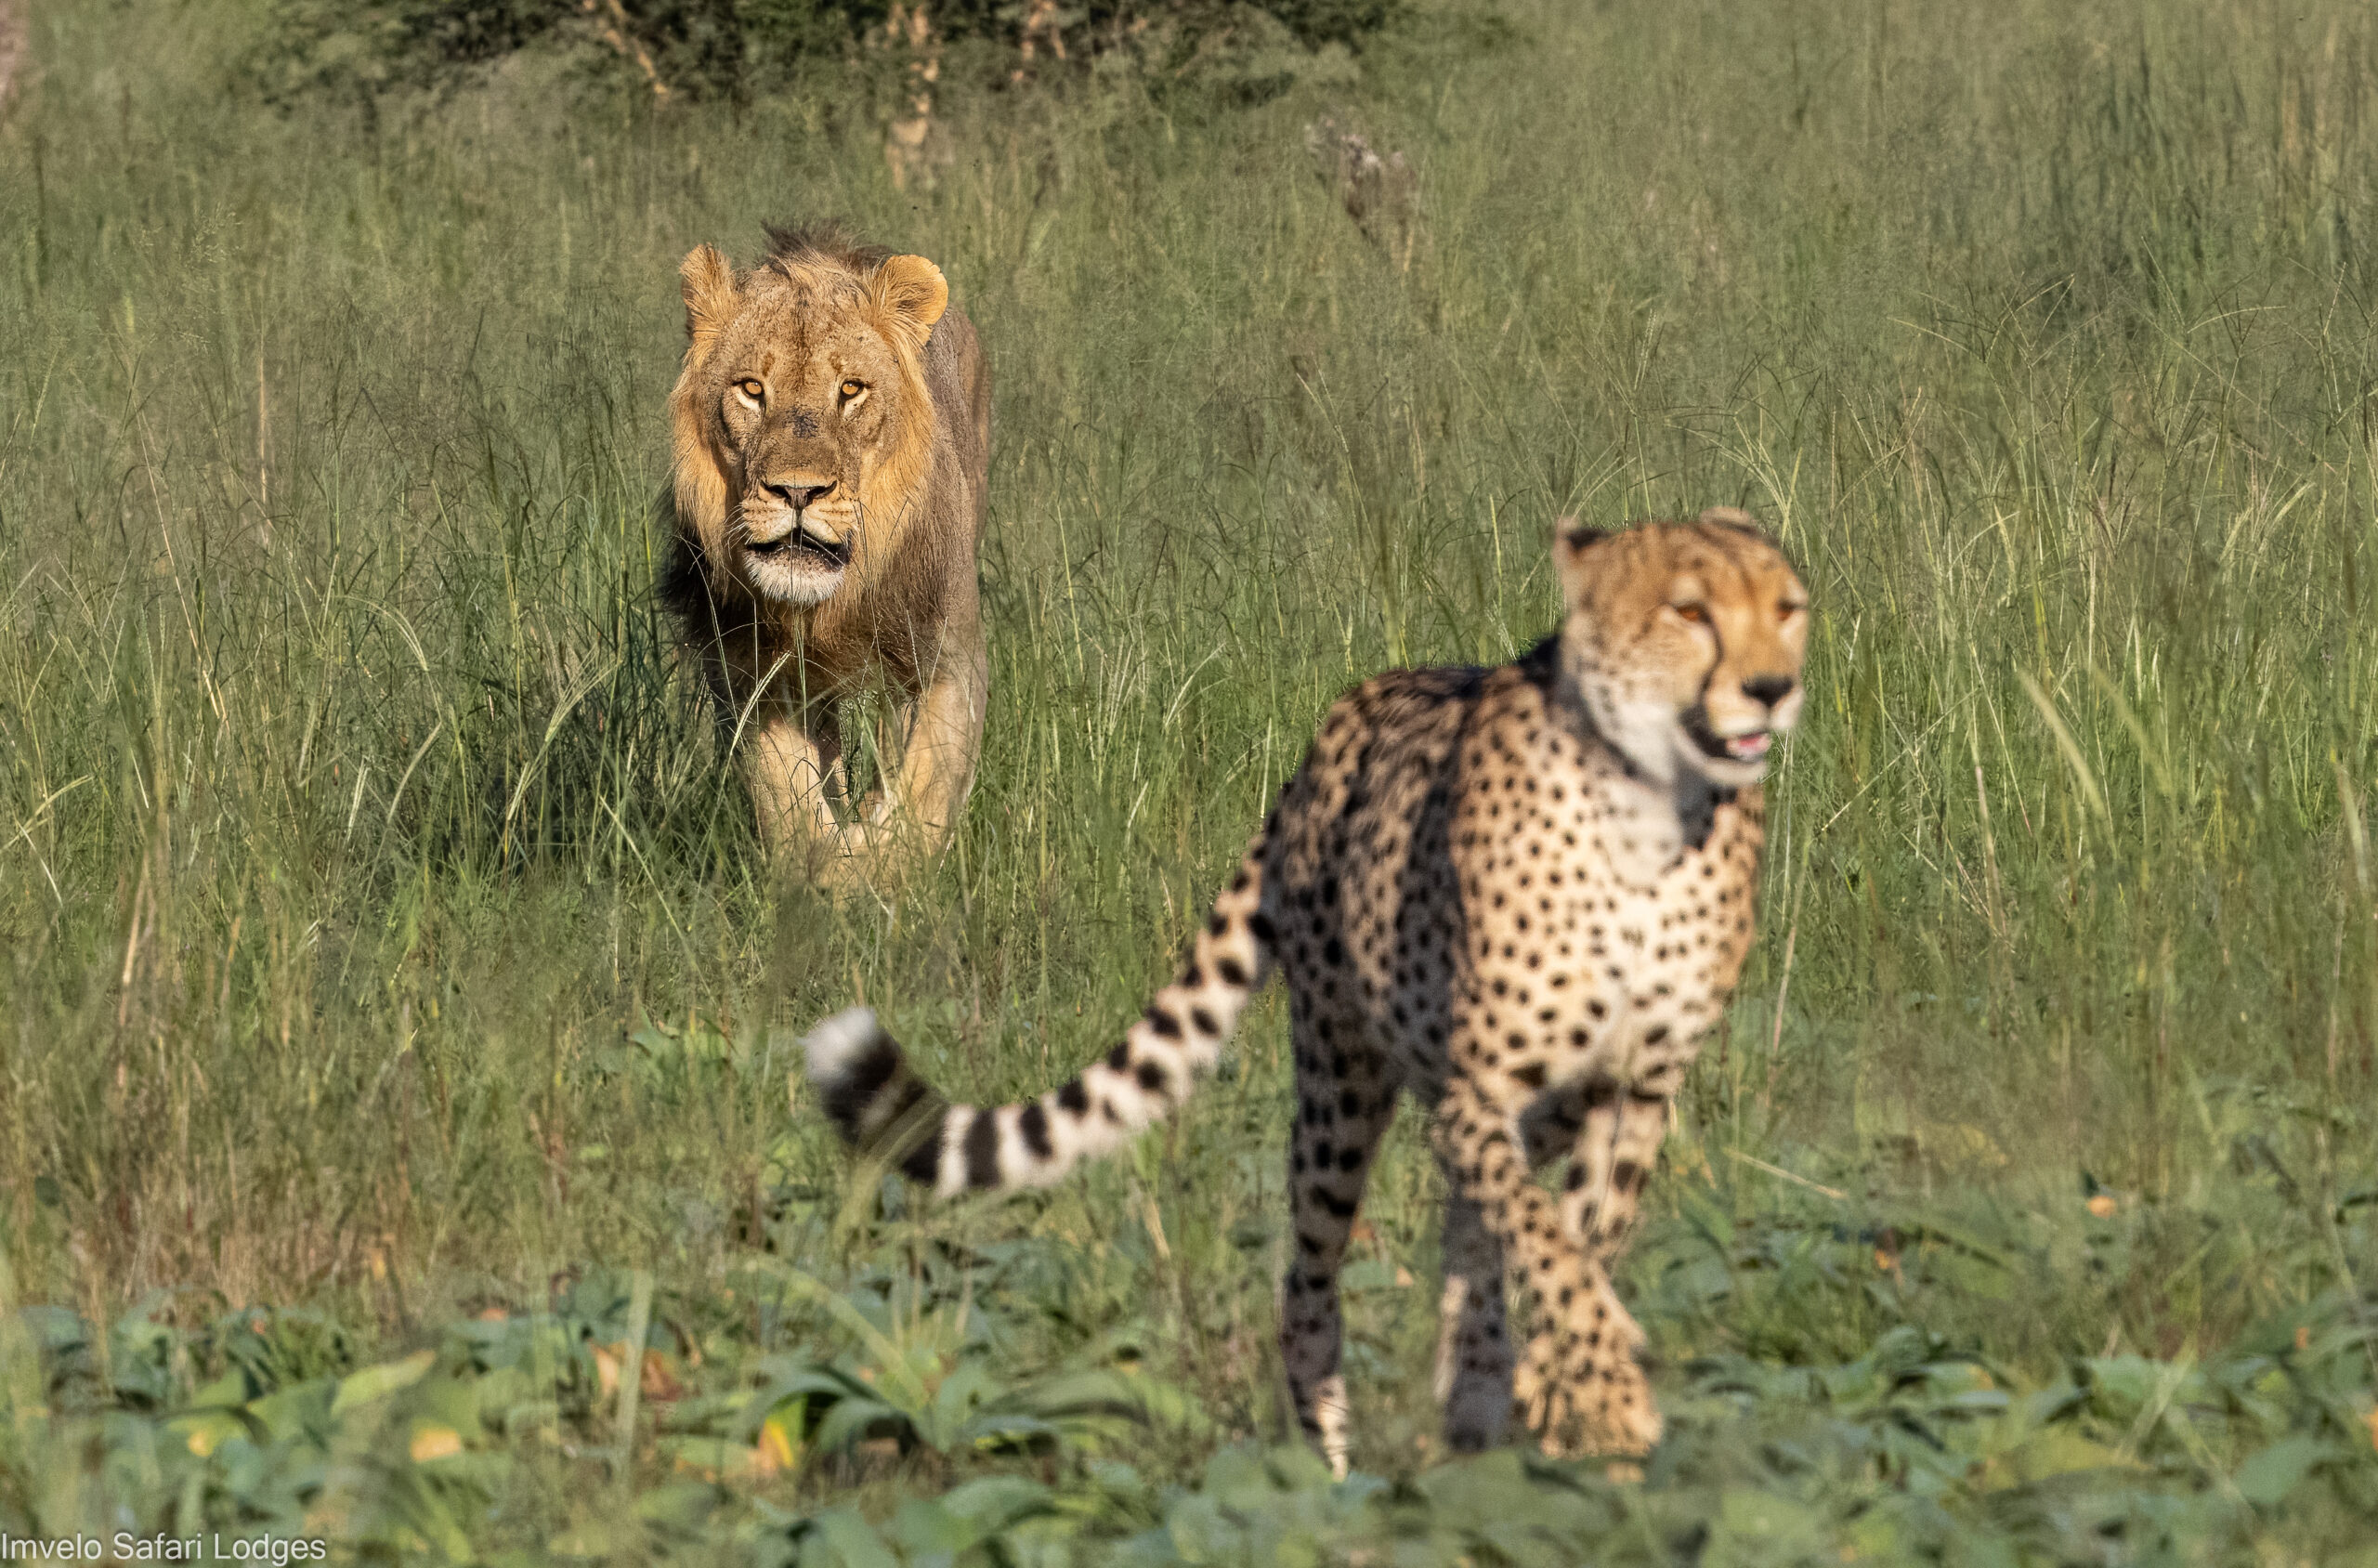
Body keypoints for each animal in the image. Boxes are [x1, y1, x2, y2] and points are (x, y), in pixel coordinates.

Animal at [661, 223, 991, 882]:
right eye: (751, 389)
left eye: (851, 390)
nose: (796, 491)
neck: (830, 605)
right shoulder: (751, 669)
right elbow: (787, 801)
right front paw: (827, 870)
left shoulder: (953, 655)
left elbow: (928, 789)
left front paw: (881, 864)